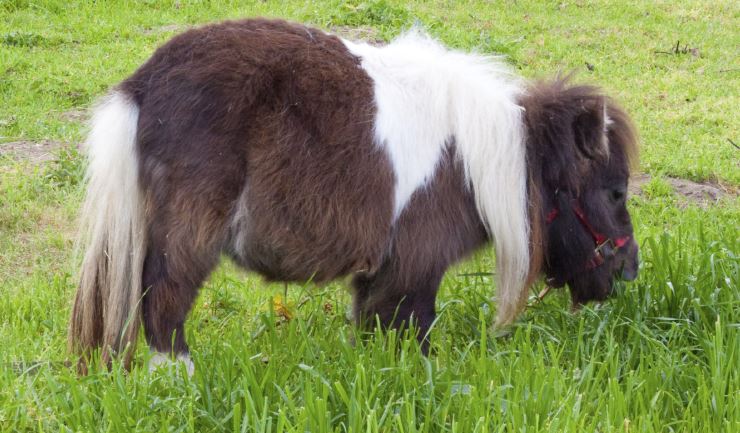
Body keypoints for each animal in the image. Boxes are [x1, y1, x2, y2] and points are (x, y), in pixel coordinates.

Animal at [68, 18, 639, 373]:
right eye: (614, 192)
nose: (630, 270)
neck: (473, 159)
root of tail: (145, 85)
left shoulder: (381, 277)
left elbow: (374, 338)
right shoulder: (412, 271)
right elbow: (412, 337)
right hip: (189, 233)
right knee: (164, 301)